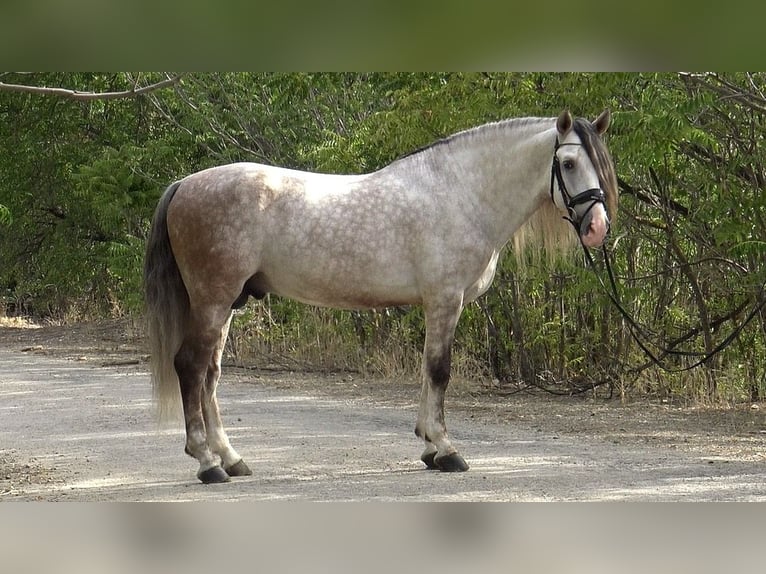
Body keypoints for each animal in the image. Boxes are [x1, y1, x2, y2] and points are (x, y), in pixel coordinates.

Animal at [146, 110, 616, 484]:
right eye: (568, 163)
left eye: (602, 165)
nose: (597, 227)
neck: (461, 193)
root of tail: (185, 184)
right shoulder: (445, 300)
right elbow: (440, 371)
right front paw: (446, 450)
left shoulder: (437, 304)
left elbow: (427, 372)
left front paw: (428, 447)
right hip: (212, 301)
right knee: (190, 368)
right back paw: (208, 464)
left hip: (227, 305)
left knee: (210, 375)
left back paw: (232, 458)